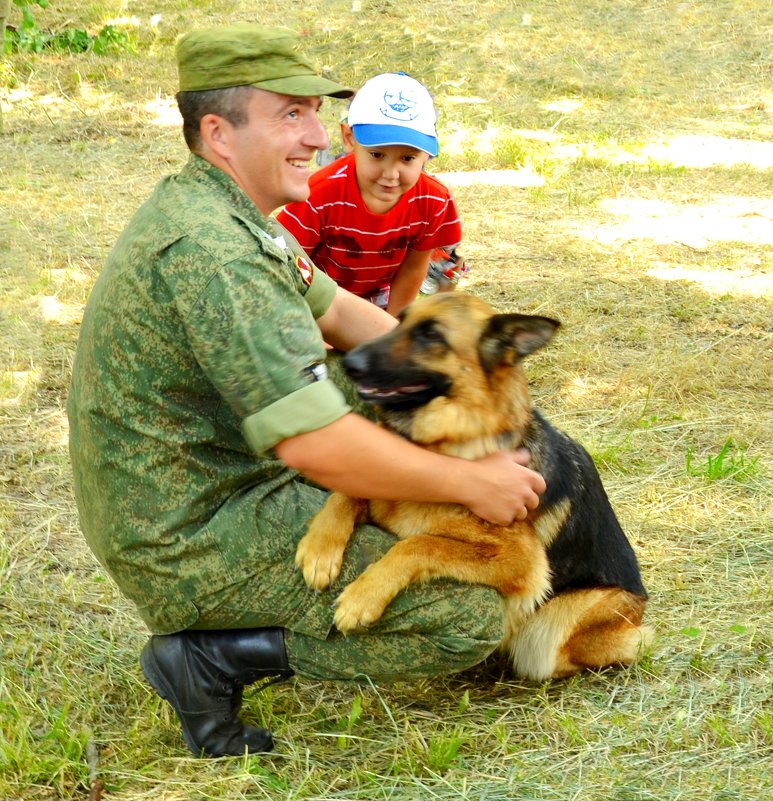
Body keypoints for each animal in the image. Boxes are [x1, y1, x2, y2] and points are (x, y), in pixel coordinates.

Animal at [296, 290, 652, 680]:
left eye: (431, 335)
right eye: (400, 321)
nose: (349, 363)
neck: (447, 448)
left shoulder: (522, 562)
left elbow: (421, 544)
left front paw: (363, 595)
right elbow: (347, 492)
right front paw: (320, 548)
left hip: (560, 627)